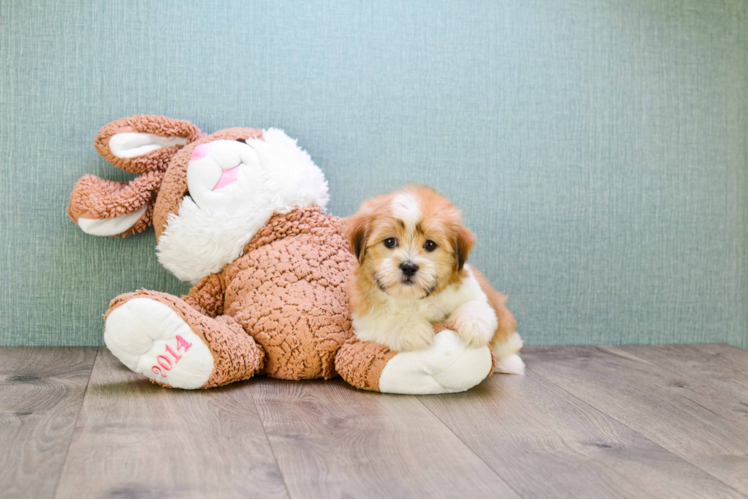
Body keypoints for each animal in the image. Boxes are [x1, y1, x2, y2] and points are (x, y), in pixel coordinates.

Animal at [346, 188, 524, 376]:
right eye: (390, 241)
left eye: (430, 245)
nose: (409, 266)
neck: (415, 298)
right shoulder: (365, 318)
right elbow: (384, 319)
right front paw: (411, 329)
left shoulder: (470, 291)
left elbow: (475, 305)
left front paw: (474, 326)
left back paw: (509, 363)